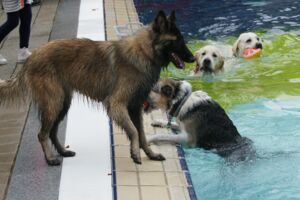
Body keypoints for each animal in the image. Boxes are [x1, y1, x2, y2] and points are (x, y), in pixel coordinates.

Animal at [0, 10, 195, 165]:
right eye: (176, 40)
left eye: (182, 39)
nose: (193, 58)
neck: (144, 52)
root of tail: (31, 57)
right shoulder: (116, 104)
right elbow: (133, 131)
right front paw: (135, 153)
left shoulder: (134, 108)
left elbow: (142, 134)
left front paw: (151, 154)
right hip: (53, 103)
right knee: (42, 134)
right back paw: (50, 159)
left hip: (62, 104)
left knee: (52, 132)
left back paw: (63, 151)